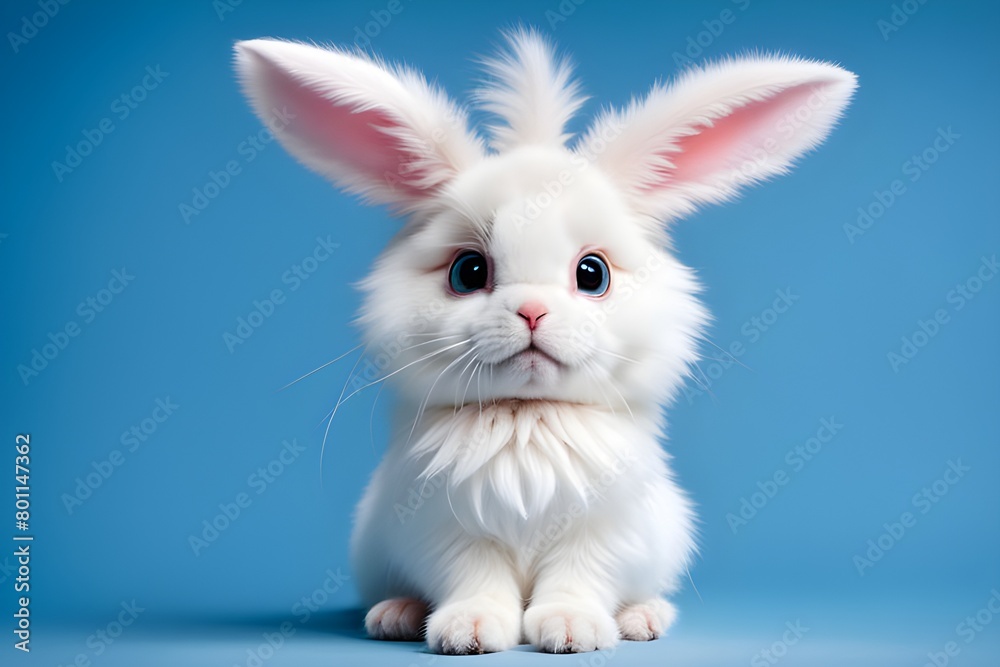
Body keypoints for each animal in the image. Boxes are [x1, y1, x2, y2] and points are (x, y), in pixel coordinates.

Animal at [234, 29, 856, 654]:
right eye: (467, 272)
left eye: (592, 274)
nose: (532, 312)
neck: (526, 416)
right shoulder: (445, 530)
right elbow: (474, 578)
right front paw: (470, 631)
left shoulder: (603, 532)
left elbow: (578, 578)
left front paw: (571, 631)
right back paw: (396, 616)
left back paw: (643, 620)